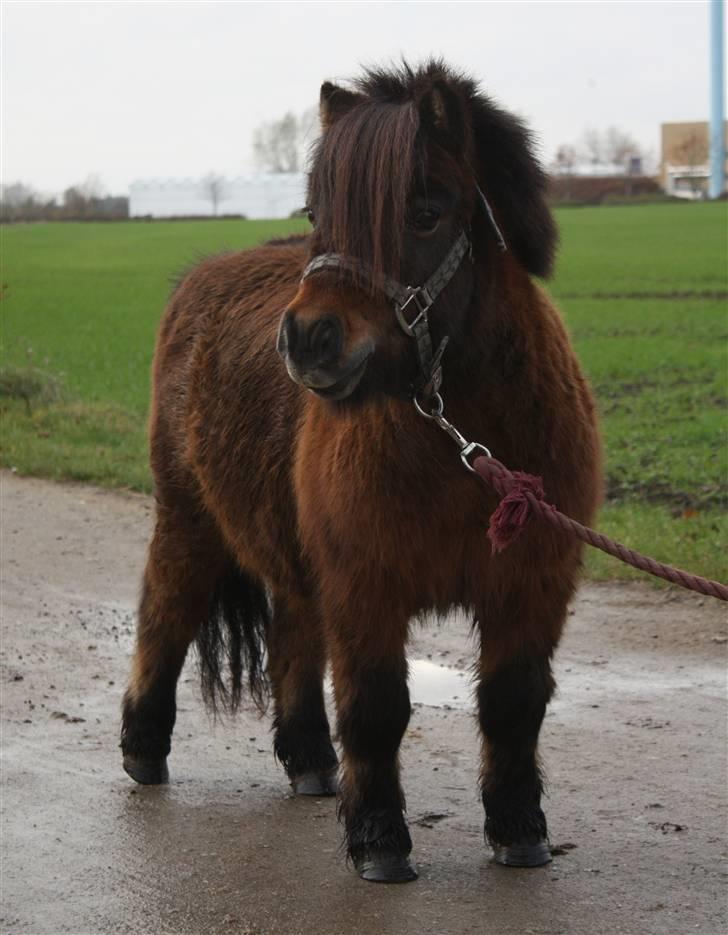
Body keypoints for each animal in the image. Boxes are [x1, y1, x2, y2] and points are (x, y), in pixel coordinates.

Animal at [121, 60, 604, 884]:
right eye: (318, 210)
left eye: (427, 212)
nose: (309, 339)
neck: (461, 441)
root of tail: (201, 276)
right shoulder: (366, 583)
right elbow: (377, 708)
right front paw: (380, 841)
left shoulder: (530, 584)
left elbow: (513, 704)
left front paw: (519, 832)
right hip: (188, 523)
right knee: (164, 617)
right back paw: (144, 752)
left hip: (292, 558)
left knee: (291, 640)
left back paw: (311, 764)